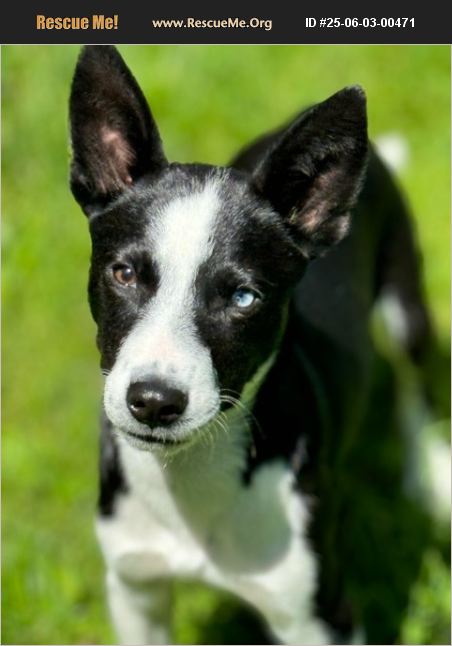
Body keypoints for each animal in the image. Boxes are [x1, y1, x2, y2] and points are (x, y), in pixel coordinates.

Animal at [69, 46, 435, 645]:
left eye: (243, 297)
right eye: (123, 274)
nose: (154, 402)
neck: (189, 482)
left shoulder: (319, 616)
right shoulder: (135, 587)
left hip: (406, 302)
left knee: (417, 386)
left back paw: (432, 480)